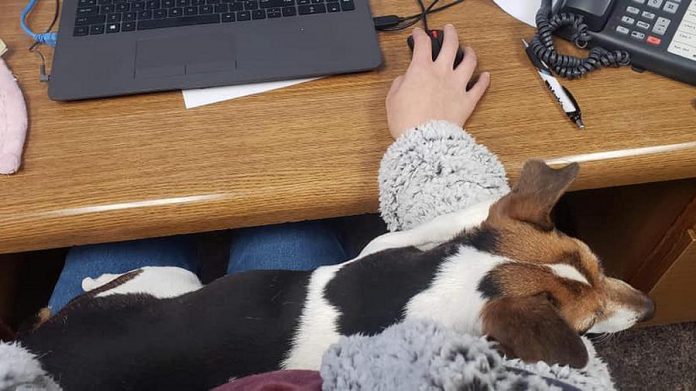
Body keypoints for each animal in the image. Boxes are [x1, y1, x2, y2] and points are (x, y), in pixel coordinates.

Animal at [17, 160, 656, 391]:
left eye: (601, 265)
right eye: (588, 323)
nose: (649, 308)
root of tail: (39, 347)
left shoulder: (386, 250)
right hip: (176, 275)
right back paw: (87, 281)